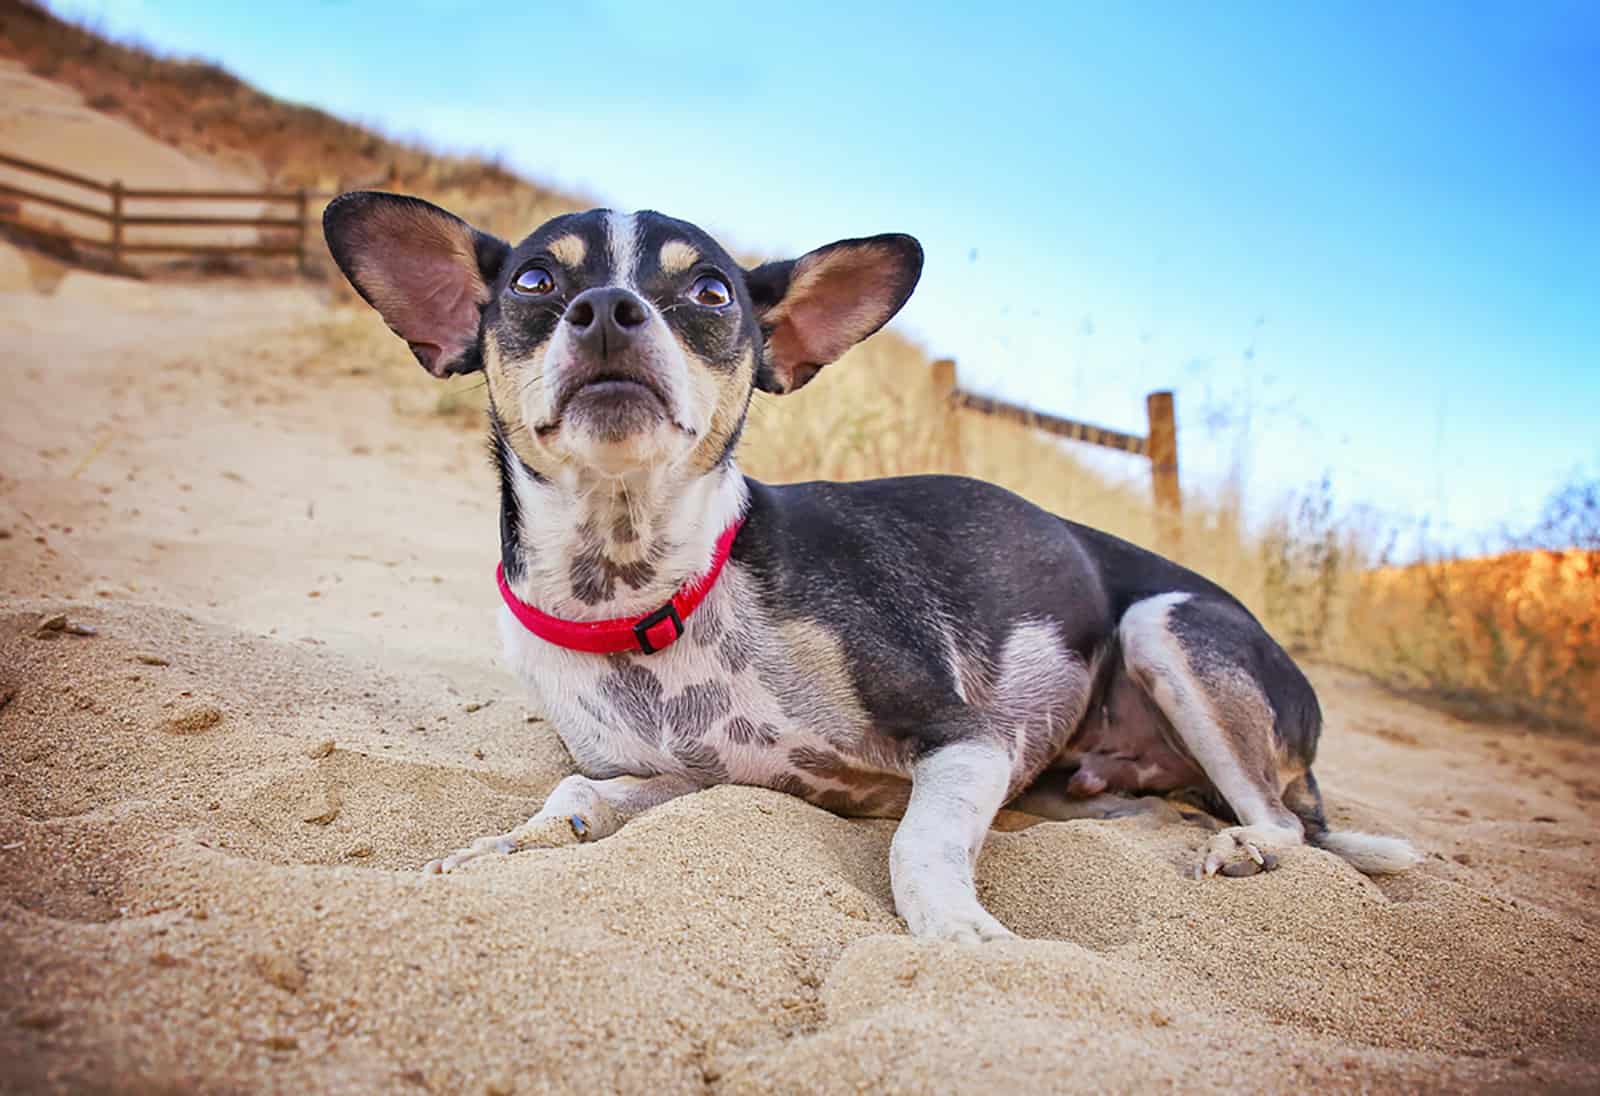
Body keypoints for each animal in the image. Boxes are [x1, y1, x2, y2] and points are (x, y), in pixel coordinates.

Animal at [318, 190, 1420, 940]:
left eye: (710, 290)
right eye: (536, 283)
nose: (608, 309)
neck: (655, 592)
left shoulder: (966, 741)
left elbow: (914, 843)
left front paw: (959, 934)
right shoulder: (692, 777)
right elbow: (577, 797)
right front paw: (504, 847)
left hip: (1166, 627)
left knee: (1288, 824)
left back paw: (1243, 844)